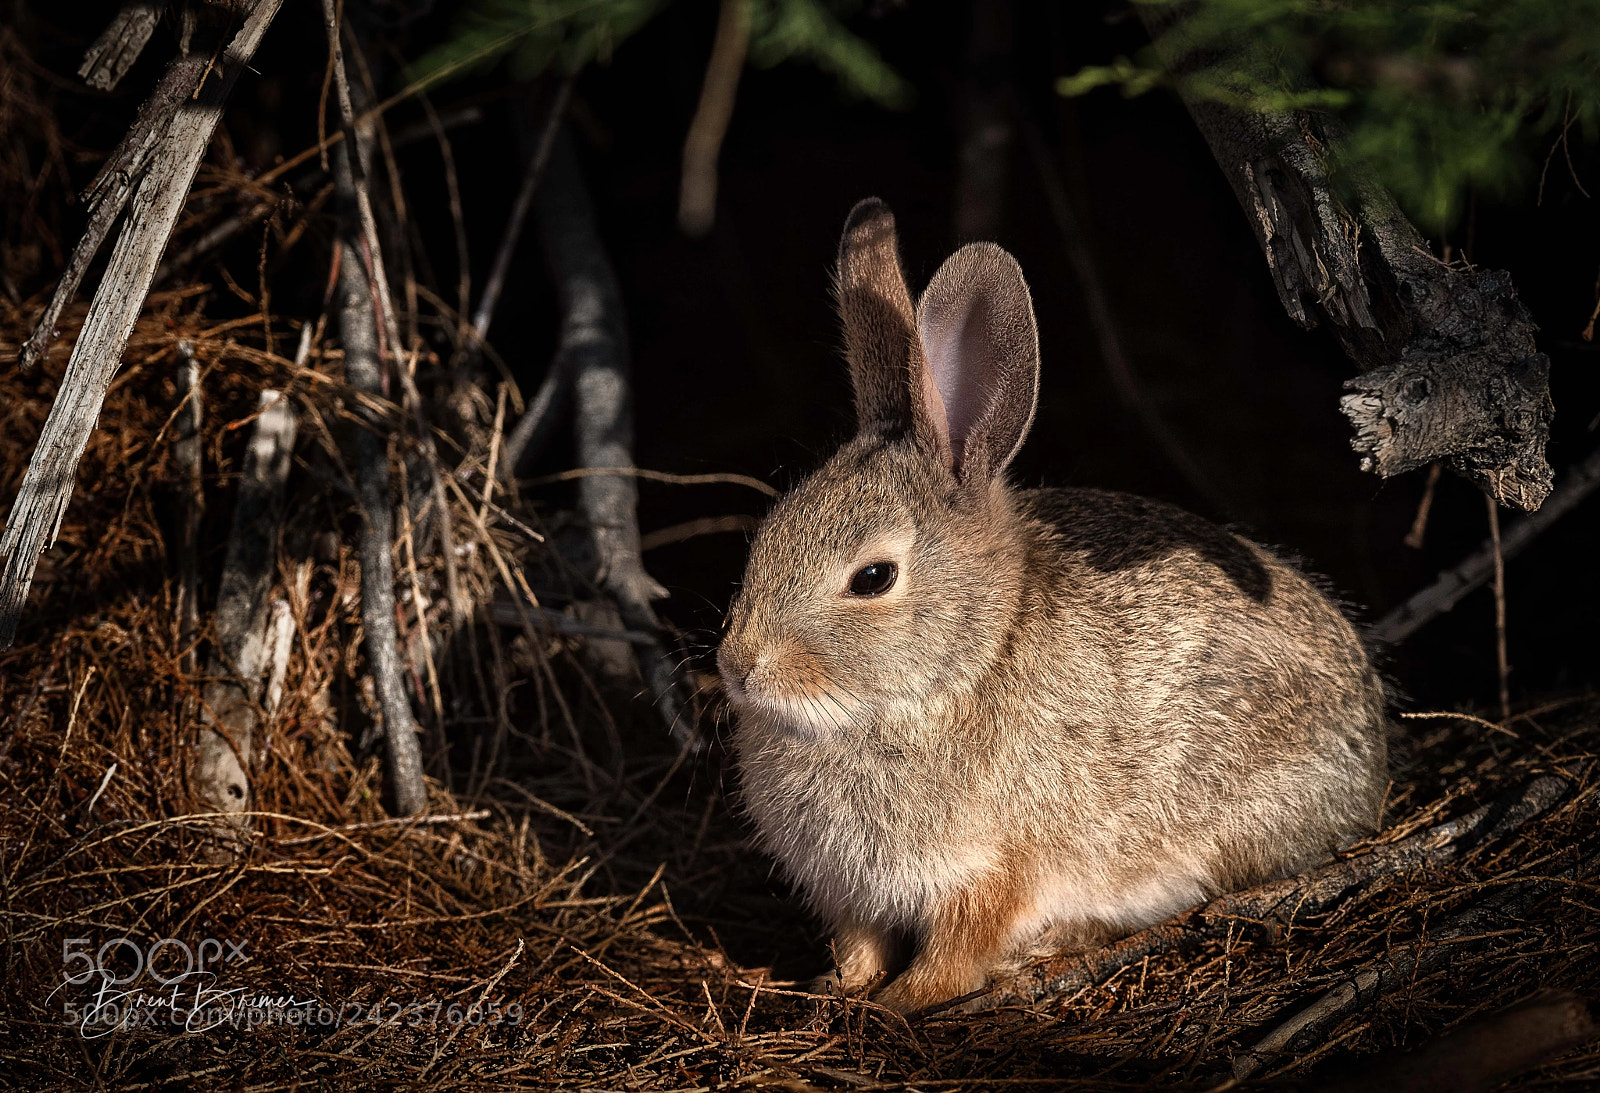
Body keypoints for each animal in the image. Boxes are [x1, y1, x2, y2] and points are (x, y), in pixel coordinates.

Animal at [715, 198, 1389, 1015]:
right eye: (767, 536)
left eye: (873, 577)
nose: (737, 666)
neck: (954, 675)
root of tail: (1372, 752)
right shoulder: (850, 894)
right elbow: (859, 946)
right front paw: (838, 992)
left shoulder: (987, 872)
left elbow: (954, 955)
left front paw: (900, 1004)